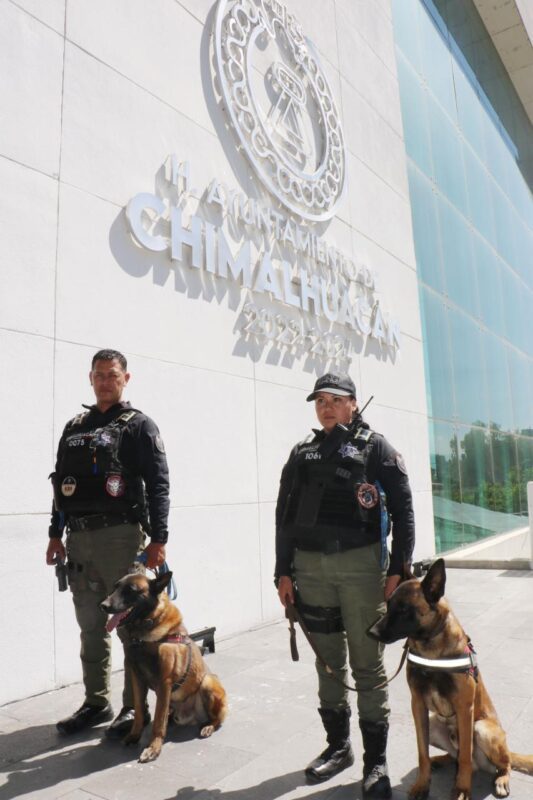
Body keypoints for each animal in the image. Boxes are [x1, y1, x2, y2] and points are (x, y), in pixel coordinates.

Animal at [100, 568, 227, 764]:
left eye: (131, 590)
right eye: (115, 587)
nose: (103, 605)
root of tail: (192, 717)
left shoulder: (164, 681)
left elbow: (159, 720)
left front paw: (153, 748)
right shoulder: (137, 678)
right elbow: (139, 712)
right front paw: (134, 735)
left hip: (207, 682)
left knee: (217, 718)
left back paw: (208, 727)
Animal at [368, 560, 528, 796]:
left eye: (404, 610)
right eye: (388, 605)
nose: (372, 633)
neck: (430, 649)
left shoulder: (464, 708)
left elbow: (464, 758)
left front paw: (462, 788)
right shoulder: (418, 705)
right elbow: (422, 753)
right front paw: (422, 784)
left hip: (483, 730)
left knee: (501, 764)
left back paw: (501, 779)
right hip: (435, 723)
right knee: (453, 756)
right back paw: (440, 759)